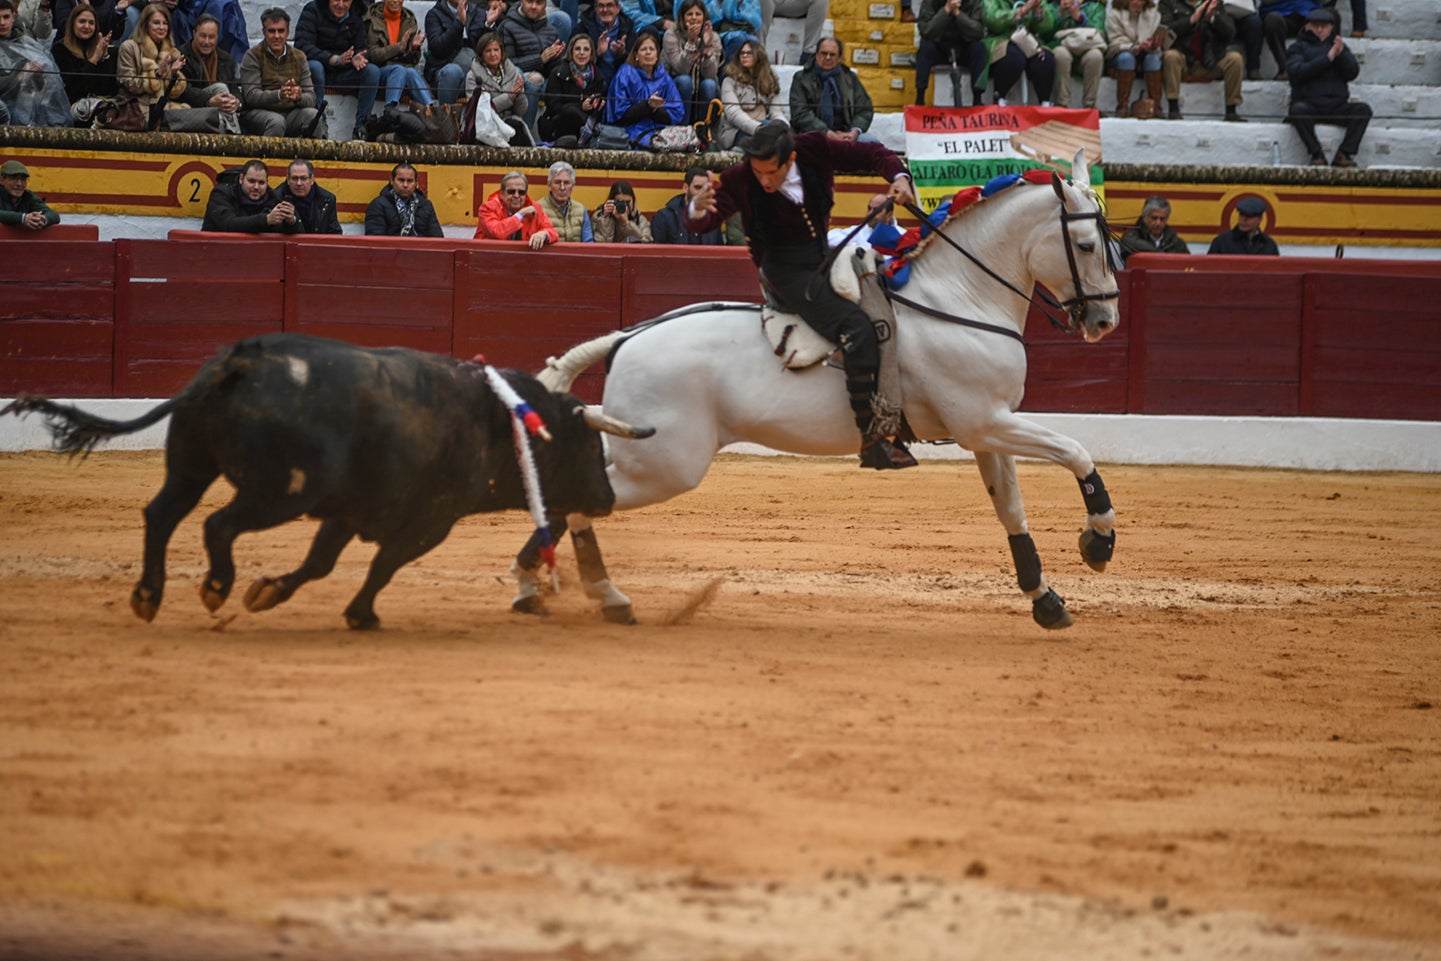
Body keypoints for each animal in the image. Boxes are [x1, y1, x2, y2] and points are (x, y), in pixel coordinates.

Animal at [1, 337, 654, 631]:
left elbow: (319, 562)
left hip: (191, 464)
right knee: (218, 524)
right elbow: (381, 567)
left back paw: (148, 595)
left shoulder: (349, 512)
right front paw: (361, 614)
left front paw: (269, 591)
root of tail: (241, 361)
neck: (504, 418)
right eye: (590, 449)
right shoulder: (428, 522)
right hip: (280, 492)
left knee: (161, 514)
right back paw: (213, 587)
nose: (606, 499)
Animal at [521, 148, 1123, 631]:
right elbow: (1076, 451)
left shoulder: (986, 430)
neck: (957, 296)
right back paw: (569, 588)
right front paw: (1098, 540)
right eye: (1086, 245)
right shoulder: (985, 421)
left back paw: (574, 591)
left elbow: (1012, 511)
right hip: (666, 463)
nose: (1104, 320)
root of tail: (628, 336)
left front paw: (1045, 600)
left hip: (643, 452)